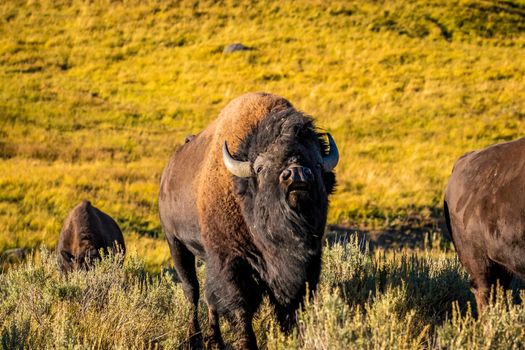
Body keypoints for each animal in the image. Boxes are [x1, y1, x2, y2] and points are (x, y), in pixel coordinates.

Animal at [158, 93, 338, 350]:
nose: (297, 173)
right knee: (192, 290)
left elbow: (291, 306)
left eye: (317, 164)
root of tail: (168, 173)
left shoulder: (307, 264)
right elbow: (240, 309)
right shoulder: (231, 262)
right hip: (176, 243)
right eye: (261, 168)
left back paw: (215, 340)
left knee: (209, 298)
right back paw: (196, 339)